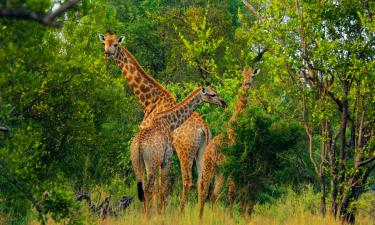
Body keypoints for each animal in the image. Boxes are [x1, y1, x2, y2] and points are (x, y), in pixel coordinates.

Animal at [98, 31, 212, 209]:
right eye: (105, 43)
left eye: (115, 44)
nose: (107, 53)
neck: (149, 100)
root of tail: (204, 128)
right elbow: (160, 184)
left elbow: (157, 184)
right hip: (201, 150)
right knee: (202, 181)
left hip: (184, 151)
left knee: (188, 181)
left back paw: (181, 211)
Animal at [131, 85, 228, 218]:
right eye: (212, 94)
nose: (224, 102)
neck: (169, 121)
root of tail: (139, 145)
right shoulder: (167, 158)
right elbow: (163, 189)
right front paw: (162, 216)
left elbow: (162, 188)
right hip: (153, 163)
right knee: (148, 190)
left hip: (137, 163)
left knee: (143, 190)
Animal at [198, 66, 260, 218]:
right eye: (244, 75)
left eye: (252, 76)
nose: (247, 84)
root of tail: (206, 151)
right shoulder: (233, 164)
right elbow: (232, 193)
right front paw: (230, 218)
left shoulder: (236, 166)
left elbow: (234, 193)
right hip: (209, 167)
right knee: (204, 192)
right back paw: (200, 218)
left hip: (220, 171)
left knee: (213, 194)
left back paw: (212, 217)